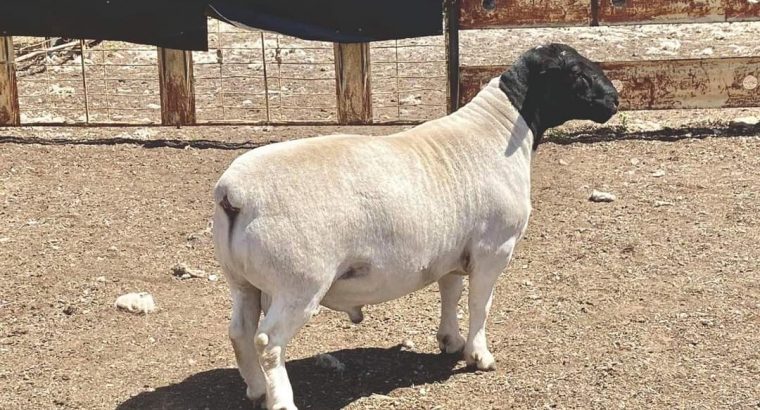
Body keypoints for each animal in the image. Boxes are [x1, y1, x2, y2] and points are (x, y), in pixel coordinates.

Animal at [212, 43, 619, 409]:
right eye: (576, 73)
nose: (614, 99)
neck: (499, 127)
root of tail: (234, 193)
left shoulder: (453, 250)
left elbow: (451, 293)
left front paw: (451, 341)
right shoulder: (493, 249)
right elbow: (480, 304)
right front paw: (479, 356)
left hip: (242, 281)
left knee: (240, 332)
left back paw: (256, 390)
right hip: (299, 282)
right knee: (269, 343)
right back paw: (280, 401)